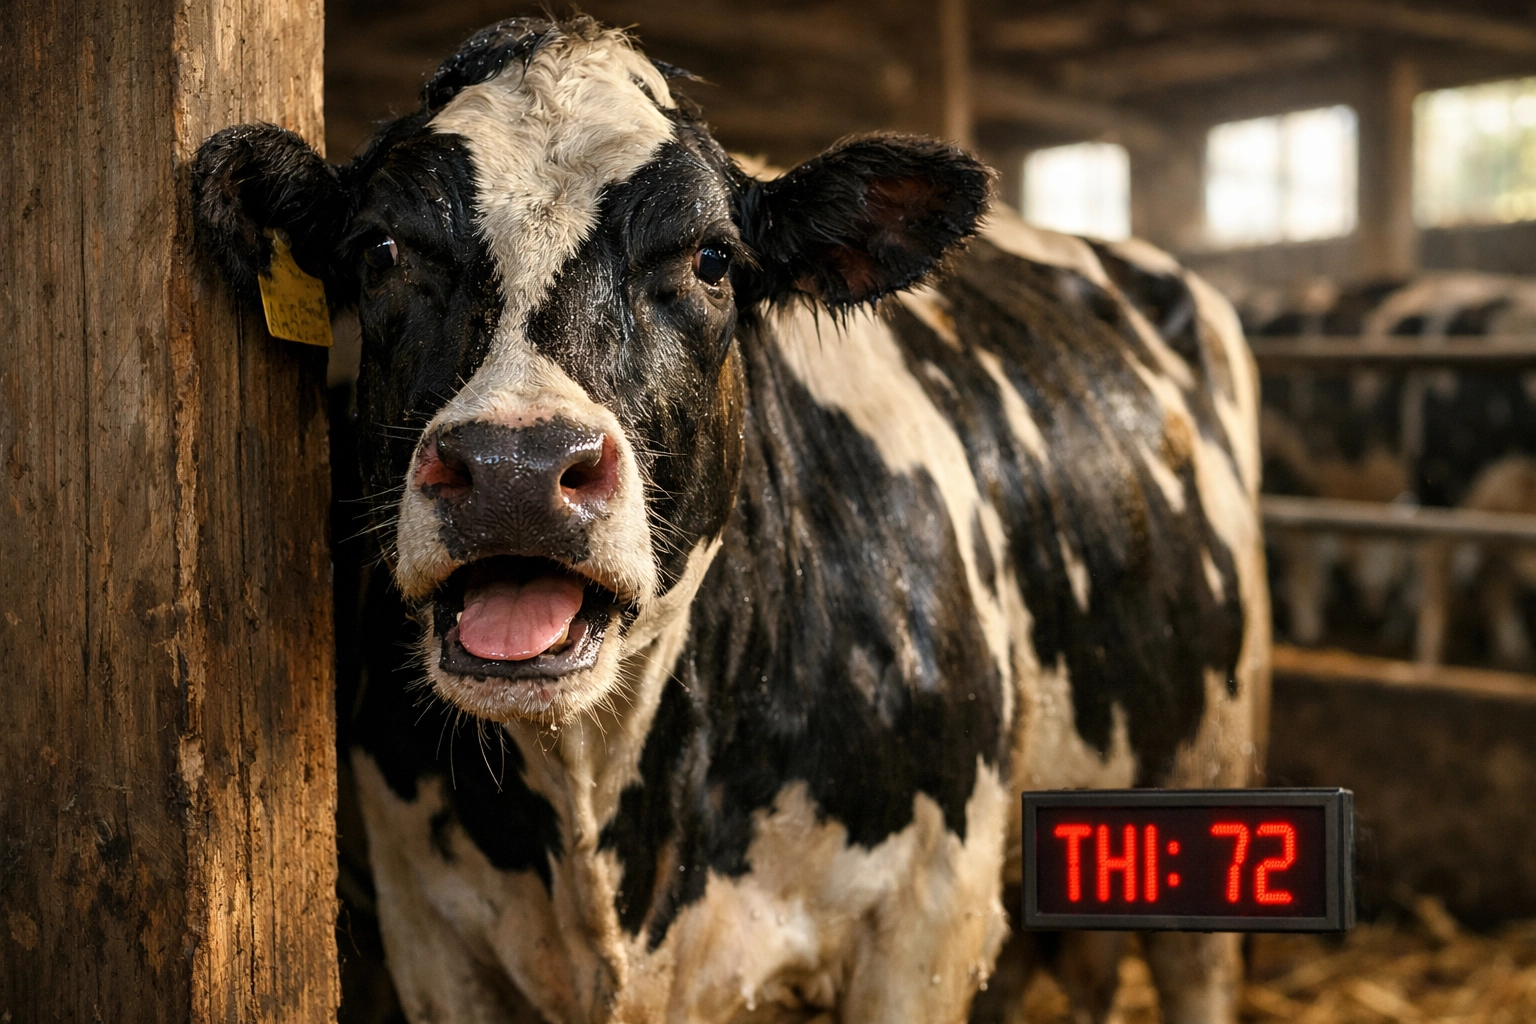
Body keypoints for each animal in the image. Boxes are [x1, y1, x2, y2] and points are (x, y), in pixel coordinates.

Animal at [192, 16, 1268, 1024]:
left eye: (712, 259)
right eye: (381, 250)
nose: (516, 468)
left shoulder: (925, 924)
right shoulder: (431, 935)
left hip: (1212, 768)